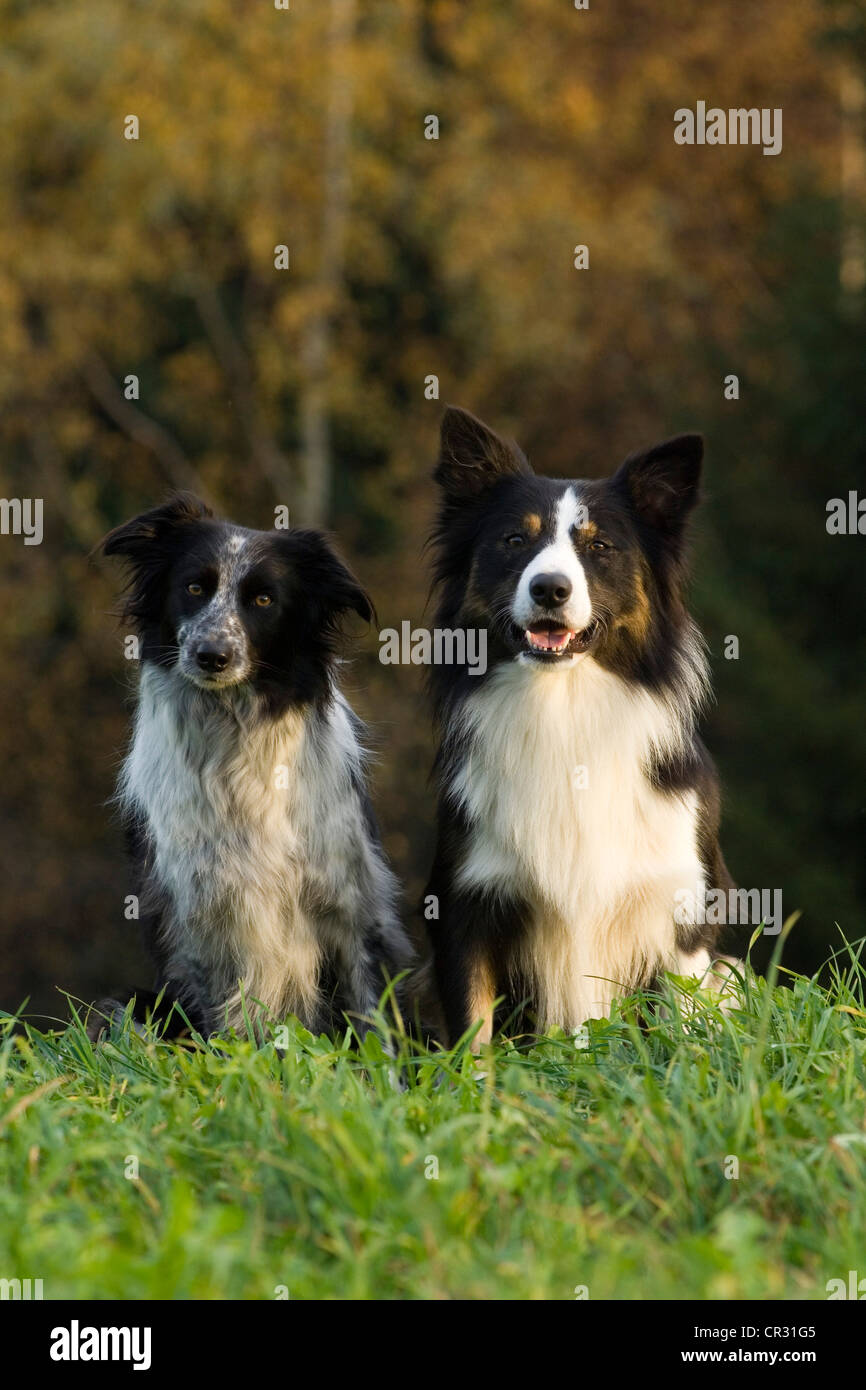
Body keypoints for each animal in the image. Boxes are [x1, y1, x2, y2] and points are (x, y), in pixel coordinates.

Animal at [422, 403, 733, 1045]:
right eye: (515, 540)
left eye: (600, 547)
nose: (550, 588)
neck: (562, 706)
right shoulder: (464, 907)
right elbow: (473, 1038)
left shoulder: (683, 913)